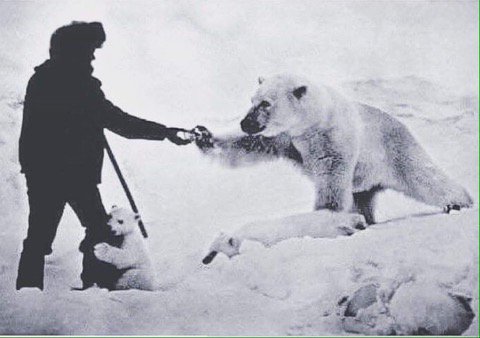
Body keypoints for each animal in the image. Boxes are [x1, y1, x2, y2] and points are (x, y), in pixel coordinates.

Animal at [195, 75, 472, 226]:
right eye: (252, 100)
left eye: (266, 103)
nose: (246, 122)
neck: (313, 121)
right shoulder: (286, 138)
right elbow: (250, 145)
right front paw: (203, 136)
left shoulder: (333, 138)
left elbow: (331, 177)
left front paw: (324, 215)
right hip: (365, 181)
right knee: (362, 200)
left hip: (395, 150)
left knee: (424, 177)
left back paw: (459, 203)